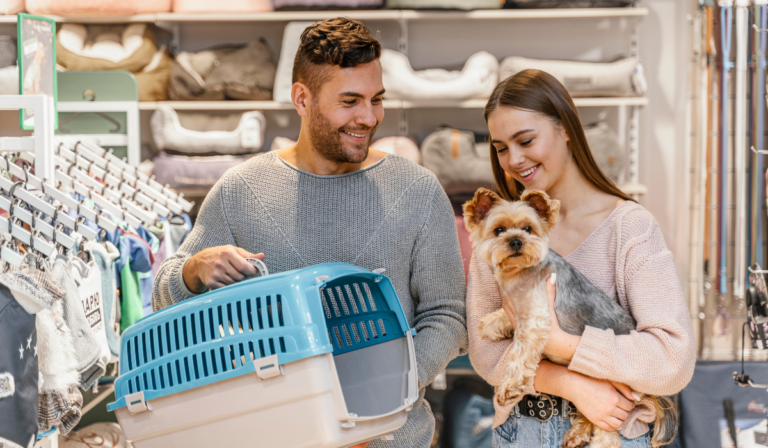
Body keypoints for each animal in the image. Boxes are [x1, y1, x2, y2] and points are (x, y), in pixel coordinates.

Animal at [462, 187, 672, 446]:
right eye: (498, 230)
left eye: (528, 228)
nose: (516, 241)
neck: (519, 272)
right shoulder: (518, 307)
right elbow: (499, 318)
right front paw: (488, 325)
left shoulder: (535, 320)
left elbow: (519, 355)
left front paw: (510, 388)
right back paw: (576, 434)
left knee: (608, 433)